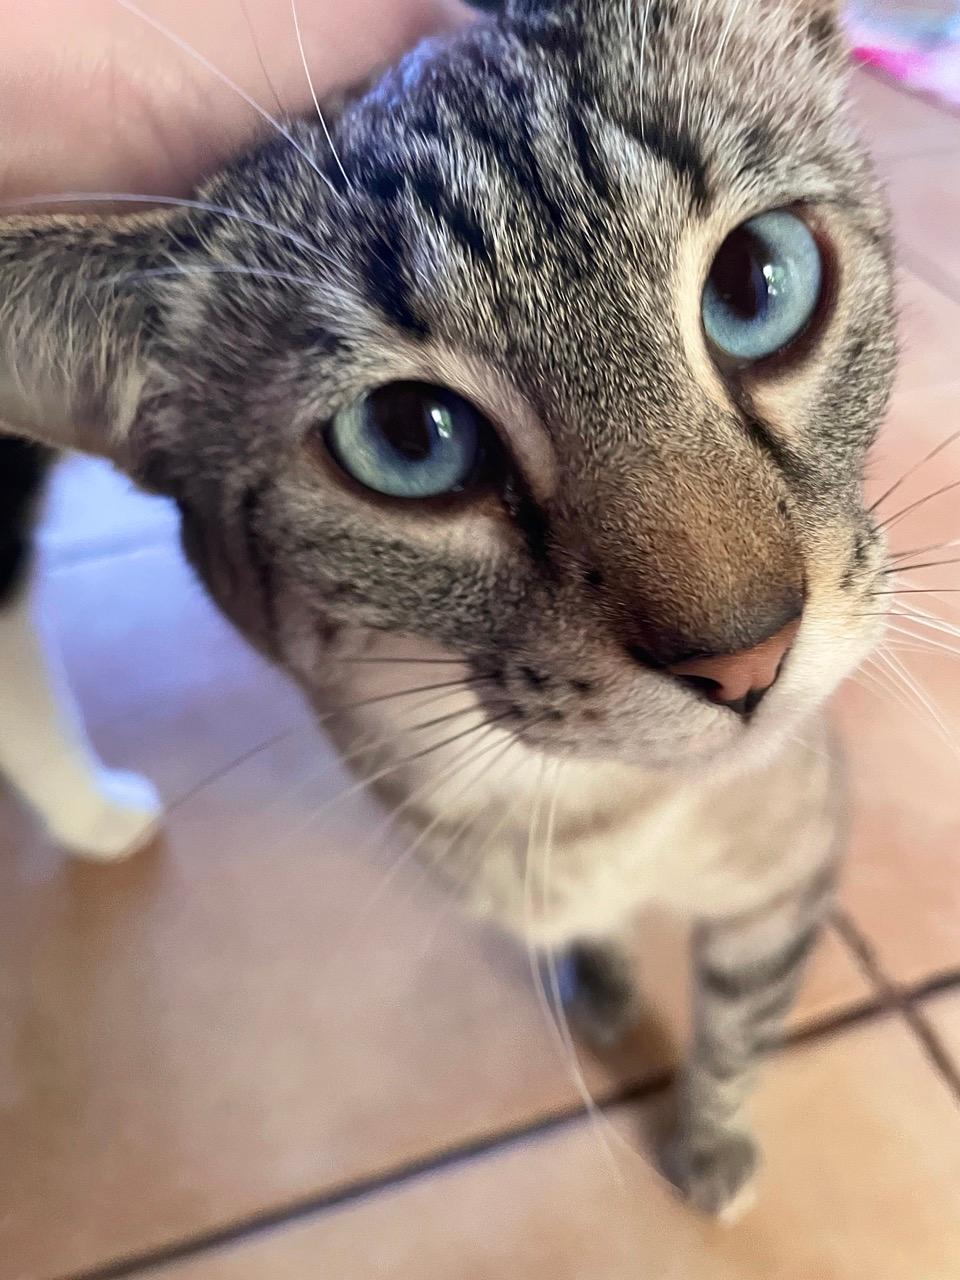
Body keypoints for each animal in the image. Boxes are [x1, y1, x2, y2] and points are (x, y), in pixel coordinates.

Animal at [0, 0, 895, 1218]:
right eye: (410, 438)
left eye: (759, 284)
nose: (748, 659)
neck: (590, 814)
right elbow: (599, 940)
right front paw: (604, 987)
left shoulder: (787, 878)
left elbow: (736, 1030)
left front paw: (708, 1151)